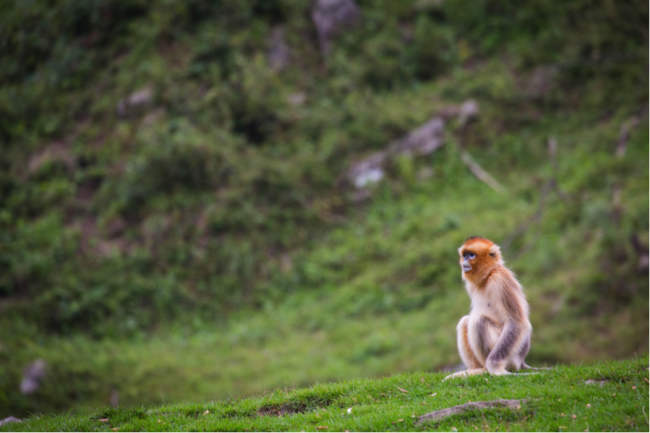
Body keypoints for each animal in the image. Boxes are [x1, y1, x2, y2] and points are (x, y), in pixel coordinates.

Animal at [444, 236, 534, 380]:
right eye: (464, 255)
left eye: (471, 255)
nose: (465, 261)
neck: (489, 274)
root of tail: (521, 361)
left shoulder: (499, 281)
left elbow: (517, 323)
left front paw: (495, 369)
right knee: (465, 321)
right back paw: (474, 369)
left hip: (511, 358)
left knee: (478, 321)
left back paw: (485, 370)